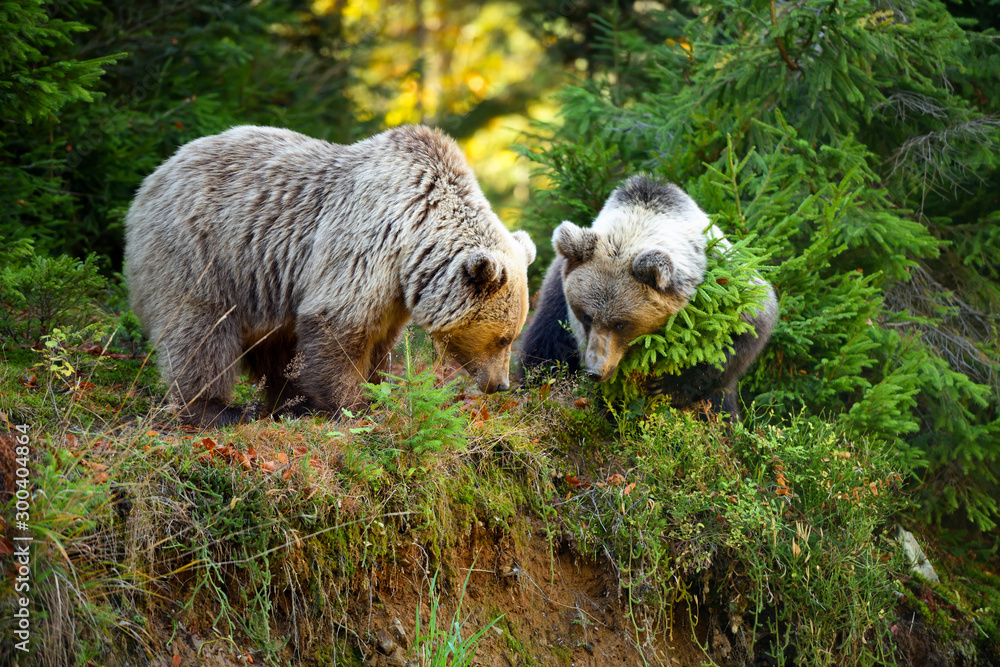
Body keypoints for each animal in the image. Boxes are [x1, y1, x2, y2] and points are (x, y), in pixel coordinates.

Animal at [125, 124, 536, 427]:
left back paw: (288, 403)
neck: (415, 240)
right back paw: (215, 410)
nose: (500, 385)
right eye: (503, 338)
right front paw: (350, 405)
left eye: (513, 335)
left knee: (277, 348)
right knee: (200, 332)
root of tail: (152, 178)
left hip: (266, 287)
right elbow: (338, 326)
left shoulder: (392, 290)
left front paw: (374, 389)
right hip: (202, 252)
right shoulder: (363, 245)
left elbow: (379, 341)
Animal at [518, 175, 777, 417]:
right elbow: (542, 355)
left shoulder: (726, 283)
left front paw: (668, 386)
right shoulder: (556, 299)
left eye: (621, 323)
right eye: (586, 316)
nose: (595, 370)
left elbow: (744, 331)